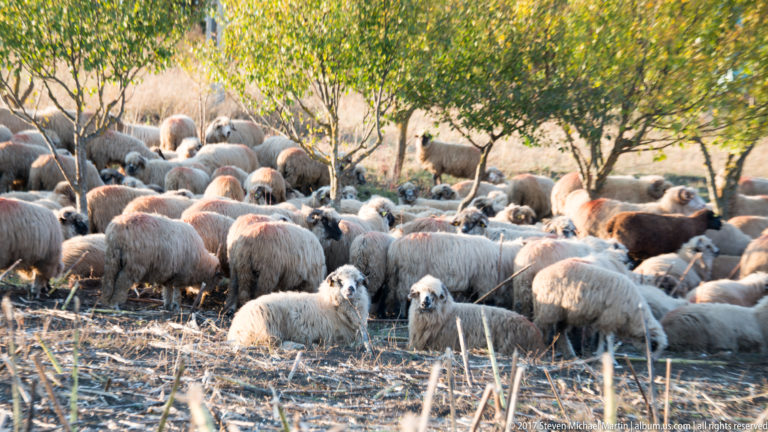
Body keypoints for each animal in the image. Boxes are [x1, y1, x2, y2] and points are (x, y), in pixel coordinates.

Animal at [387, 232, 523, 316]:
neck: (501, 257)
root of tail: (394, 247)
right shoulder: (484, 284)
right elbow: (483, 301)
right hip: (409, 274)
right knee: (403, 296)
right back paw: (403, 314)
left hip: (399, 276)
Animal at [533, 259, 668, 358]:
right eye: (654, 345)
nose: (652, 360)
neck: (634, 311)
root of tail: (538, 276)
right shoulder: (609, 318)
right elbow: (608, 338)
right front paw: (610, 357)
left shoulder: (604, 320)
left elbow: (603, 337)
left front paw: (601, 354)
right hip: (548, 310)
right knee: (540, 326)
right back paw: (541, 346)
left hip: (564, 313)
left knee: (561, 332)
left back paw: (570, 353)